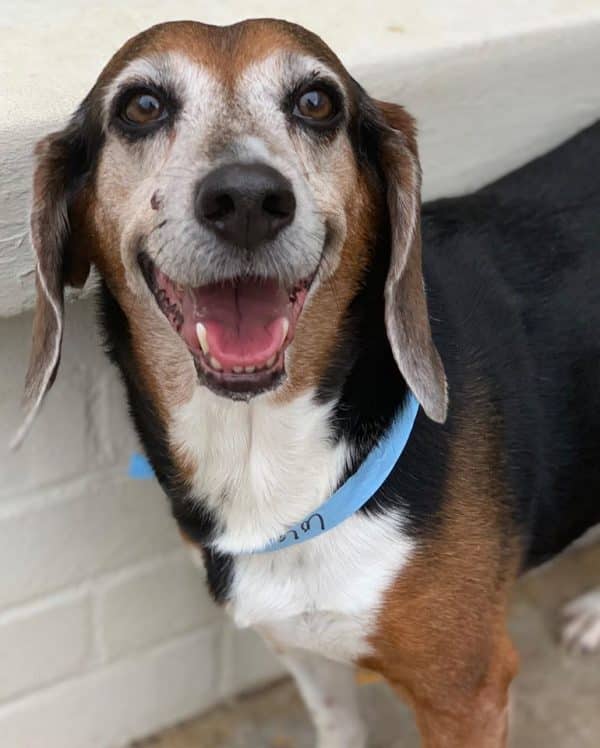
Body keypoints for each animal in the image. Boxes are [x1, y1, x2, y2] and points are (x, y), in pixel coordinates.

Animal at [14, 19, 600, 748]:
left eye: (317, 102)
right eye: (141, 106)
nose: (245, 198)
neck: (268, 453)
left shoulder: (466, 692)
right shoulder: (299, 644)